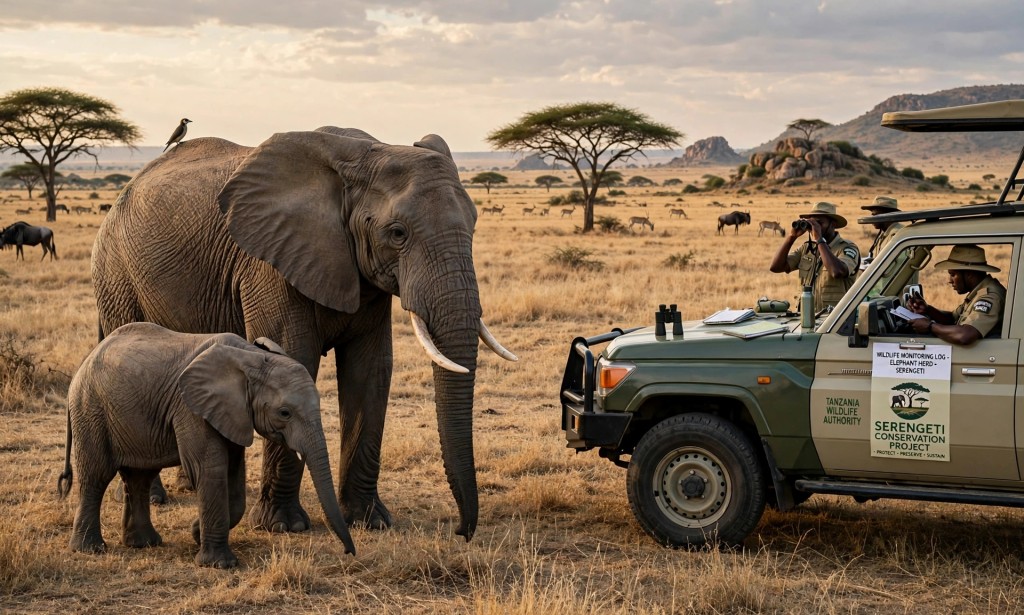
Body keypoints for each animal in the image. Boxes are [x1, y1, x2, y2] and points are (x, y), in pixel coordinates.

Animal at [57, 323, 356, 568]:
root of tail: (84, 363)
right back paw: (90, 550)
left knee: (139, 478)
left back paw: (144, 544)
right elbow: (209, 469)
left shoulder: (231, 412)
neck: (251, 357)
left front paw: (196, 533)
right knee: (96, 476)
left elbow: (233, 475)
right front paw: (220, 564)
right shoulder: (190, 407)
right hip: (90, 410)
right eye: (285, 413)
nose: (348, 553)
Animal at [90, 128, 517, 542]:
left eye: (474, 224)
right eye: (397, 233)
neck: (366, 153)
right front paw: (283, 526)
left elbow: (371, 371)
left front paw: (370, 521)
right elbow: (294, 358)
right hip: (115, 272)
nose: (461, 531)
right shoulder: (268, 262)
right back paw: (158, 496)